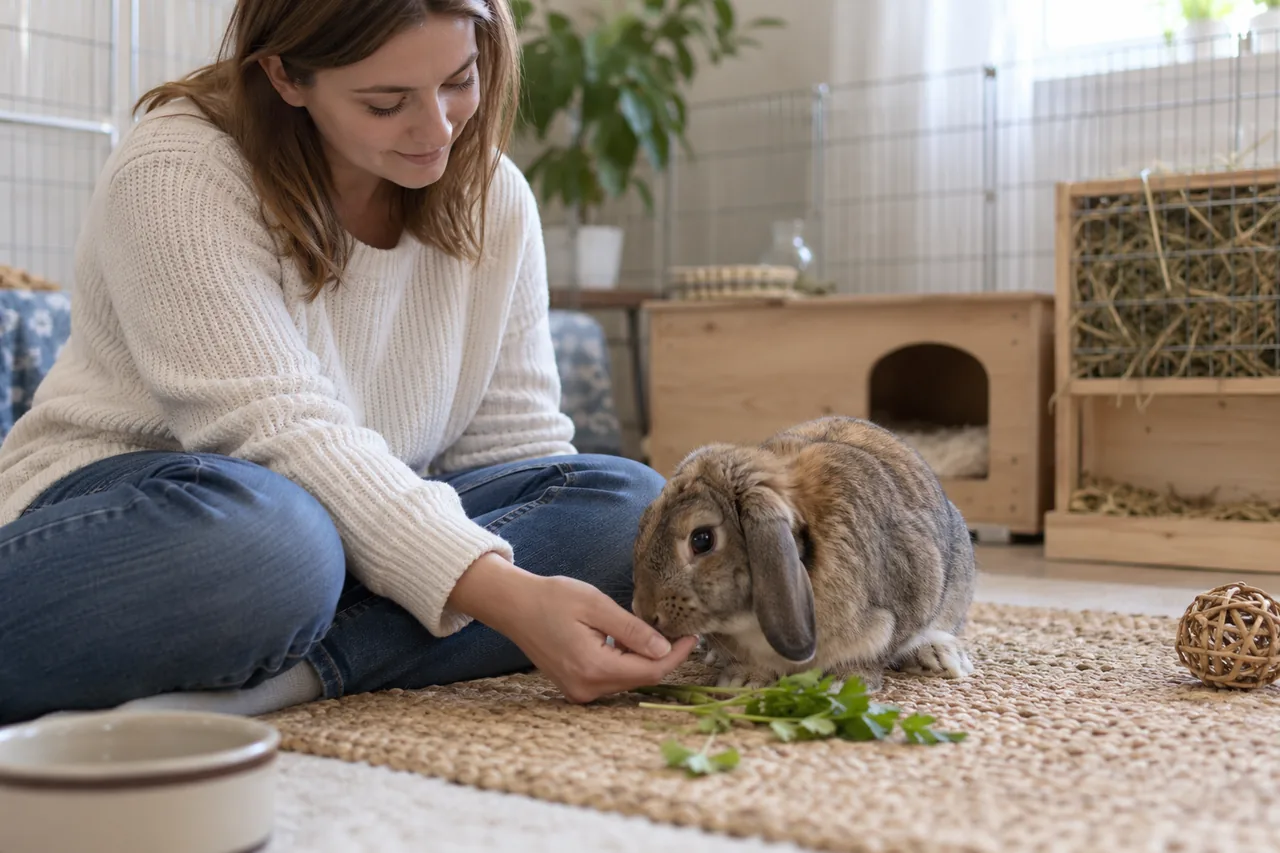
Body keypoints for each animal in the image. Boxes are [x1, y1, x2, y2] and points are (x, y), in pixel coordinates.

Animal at [631, 415, 977, 692]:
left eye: (702, 540)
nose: (644, 613)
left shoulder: (894, 618)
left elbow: (872, 655)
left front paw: (844, 684)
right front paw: (742, 682)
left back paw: (940, 657)